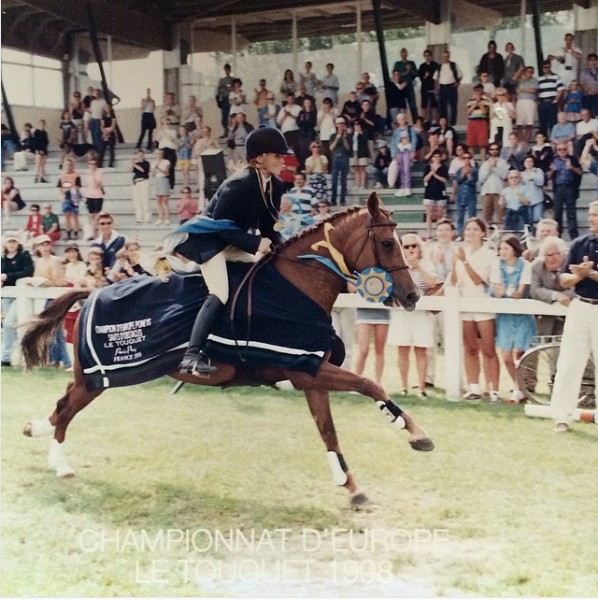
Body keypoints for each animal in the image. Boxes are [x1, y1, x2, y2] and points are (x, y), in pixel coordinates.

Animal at [21, 191, 434, 506]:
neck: (297, 286)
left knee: (64, 403)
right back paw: (60, 462)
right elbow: (370, 384)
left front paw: (352, 486)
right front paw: (415, 433)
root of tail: (92, 292)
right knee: (67, 407)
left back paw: (36, 430)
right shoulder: (306, 368)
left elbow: (328, 429)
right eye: (387, 243)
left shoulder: (309, 372)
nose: (412, 296)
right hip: (101, 374)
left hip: (98, 376)